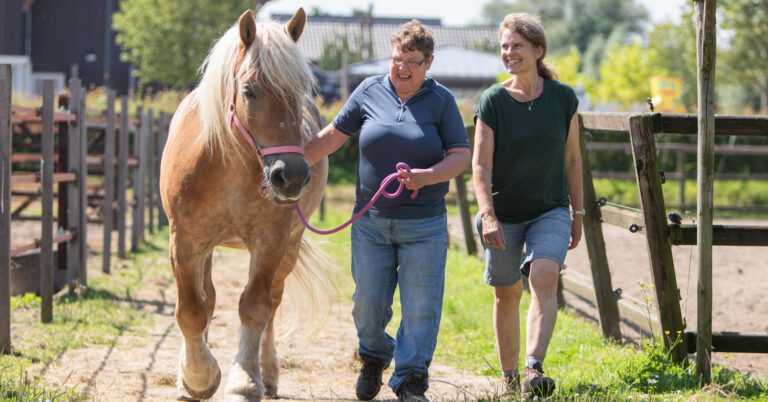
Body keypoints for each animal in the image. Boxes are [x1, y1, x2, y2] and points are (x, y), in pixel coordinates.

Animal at [160, 7, 328, 400]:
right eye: (250, 91)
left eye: (300, 92)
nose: (291, 175)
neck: (228, 167)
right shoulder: (185, 242)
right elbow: (191, 309)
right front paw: (197, 377)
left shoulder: (270, 243)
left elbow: (254, 307)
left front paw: (244, 380)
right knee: (207, 298)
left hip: (289, 249)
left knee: (273, 302)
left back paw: (268, 373)